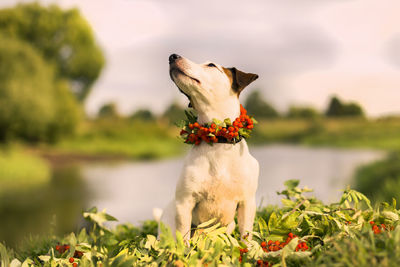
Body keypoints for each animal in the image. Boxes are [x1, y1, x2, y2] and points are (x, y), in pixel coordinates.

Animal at [158, 54, 260, 243]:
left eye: (211, 65)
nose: (172, 56)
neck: (218, 140)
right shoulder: (184, 204)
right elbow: (184, 239)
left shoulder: (247, 203)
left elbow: (246, 235)